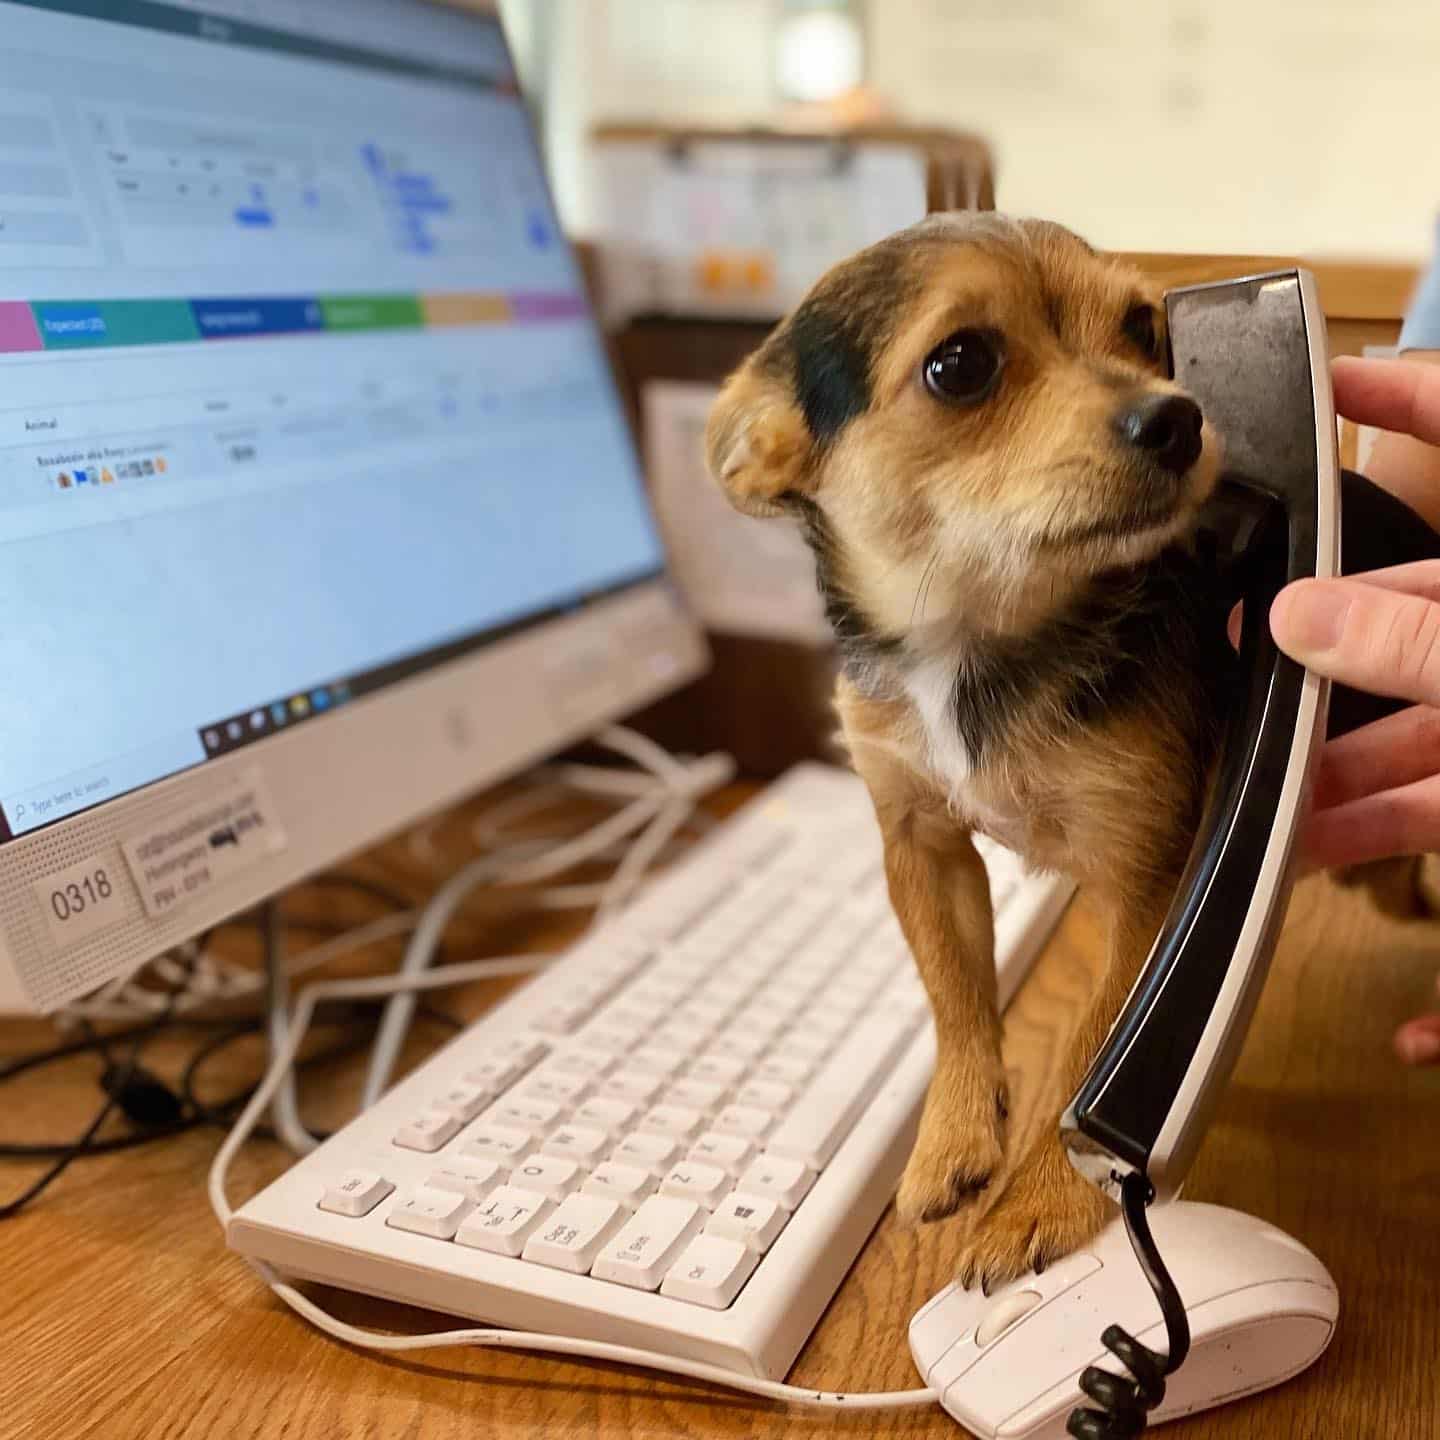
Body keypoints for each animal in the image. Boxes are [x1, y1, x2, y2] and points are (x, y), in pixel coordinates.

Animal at [702, 216, 1232, 1296]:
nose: (1180, 419)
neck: (973, 637)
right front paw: (951, 1138)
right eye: (960, 365)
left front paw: (1042, 1201)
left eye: (1142, 328)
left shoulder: (1148, 880)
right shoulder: (919, 842)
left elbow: (1094, 1048)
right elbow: (953, 992)